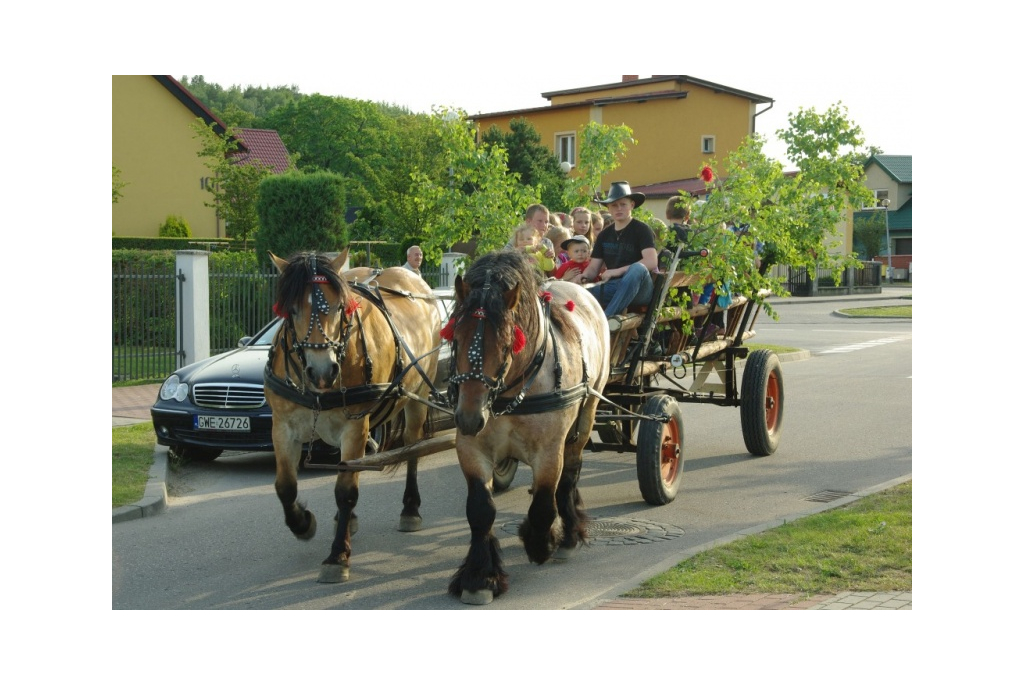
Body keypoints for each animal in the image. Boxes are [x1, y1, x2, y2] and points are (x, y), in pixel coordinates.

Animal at [264, 250, 440, 581]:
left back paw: (410, 509)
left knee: (412, 447)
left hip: (420, 393)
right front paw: (303, 524)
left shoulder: (354, 428)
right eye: (291, 310)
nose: (322, 371)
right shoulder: (282, 427)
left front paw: (337, 555)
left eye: (338, 307)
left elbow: (345, 490)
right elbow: (285, 486)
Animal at [446, 248, 606, 602]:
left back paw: (568, 534)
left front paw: (540, 543)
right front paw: (479, 577)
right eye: (456, 339)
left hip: (587, 413)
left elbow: (544, 504)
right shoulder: (471, 448)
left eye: (507, 344)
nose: (469, 417)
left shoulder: (549, 451)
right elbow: (480, 510)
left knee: (570, 473)